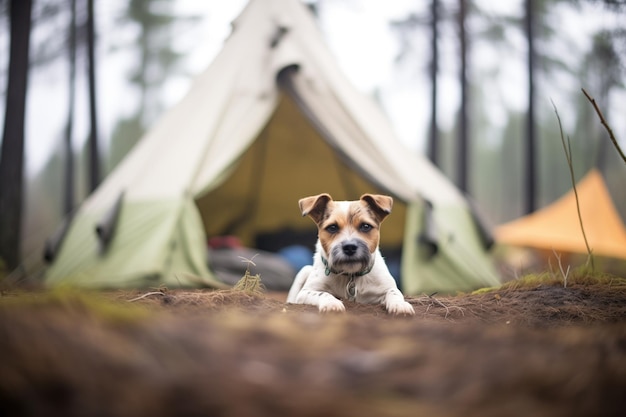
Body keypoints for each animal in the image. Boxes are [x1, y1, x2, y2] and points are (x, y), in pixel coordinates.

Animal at [286, 193, 414, 316]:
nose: (350, 247)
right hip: (304, 271)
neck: (350, 275)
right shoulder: (305, 292)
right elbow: (323, 294)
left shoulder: (386, 287)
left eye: (365, 226)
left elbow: (394, 292)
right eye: (332, 227)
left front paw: (400, 305)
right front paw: (332, 303)